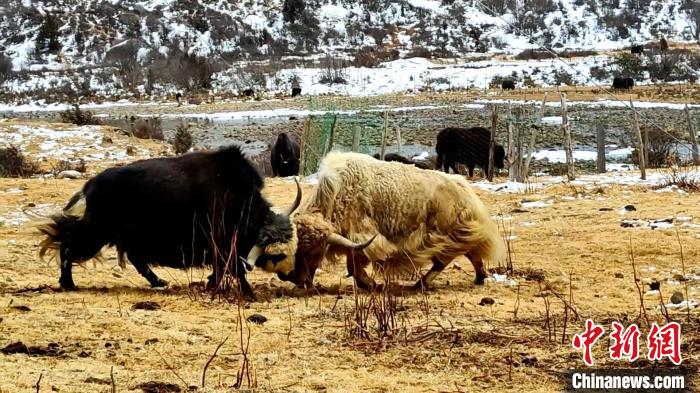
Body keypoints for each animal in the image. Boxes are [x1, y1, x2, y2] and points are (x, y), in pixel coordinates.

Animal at [38, 146, 300, 298]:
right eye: (277, 254)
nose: (290, 275)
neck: (239, 202)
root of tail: (90, 186)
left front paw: (210, 284)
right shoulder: (222, 243)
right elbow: (235, 269)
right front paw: (247, 292)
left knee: (135, 259)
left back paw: (159, 282)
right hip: (97, 232)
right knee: (67, 244)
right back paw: (68, 283)